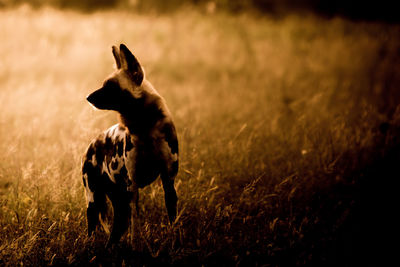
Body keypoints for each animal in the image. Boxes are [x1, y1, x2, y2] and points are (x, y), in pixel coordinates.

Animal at [81, 43, 178, 247]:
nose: (87, 97)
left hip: (118, 202)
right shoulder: (132, 187)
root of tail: (92, 144)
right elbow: (136, 228)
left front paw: (176, 243)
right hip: (94, 200)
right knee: (94, 230)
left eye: (111, 86)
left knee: (117, 229)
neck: (146, 127)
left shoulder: (168, 181)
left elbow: (173, 220)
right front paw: (137, 248)